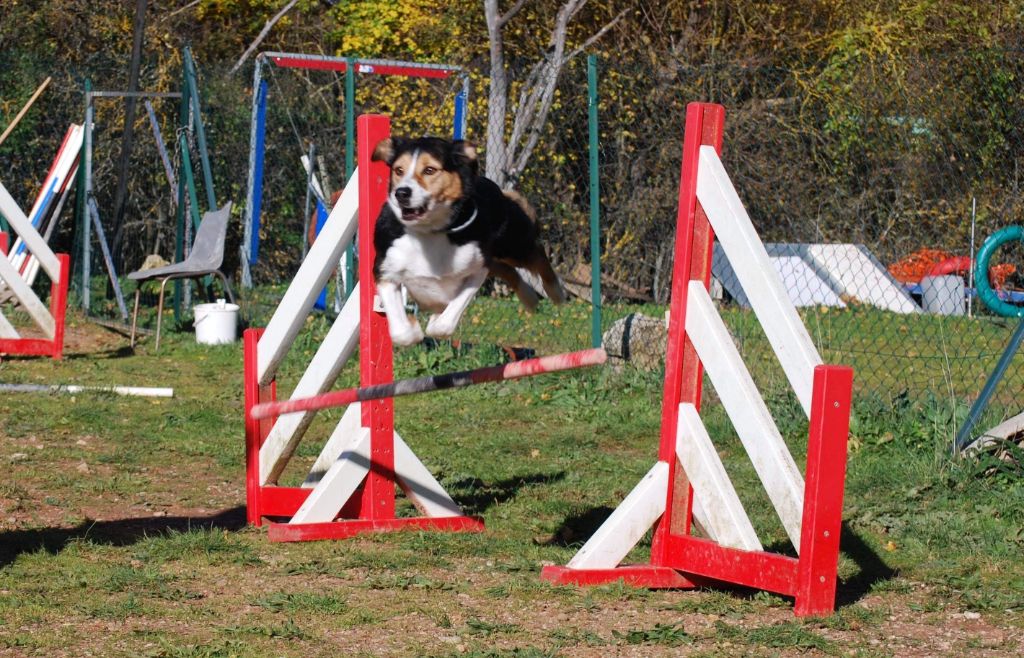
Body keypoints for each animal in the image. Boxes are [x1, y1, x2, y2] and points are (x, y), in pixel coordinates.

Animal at [372, 136, 569, 347]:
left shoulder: (477, 268)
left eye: (430, 170)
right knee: (507, 269)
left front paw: (434, 321)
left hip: (510, 245)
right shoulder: (386, 269)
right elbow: (401, 333)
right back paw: (530, 298)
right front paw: (415, 330)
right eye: (398, 170)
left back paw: (556, 292)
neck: (430, 231)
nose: (401, 193)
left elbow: (444, 324)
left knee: (536, 253)